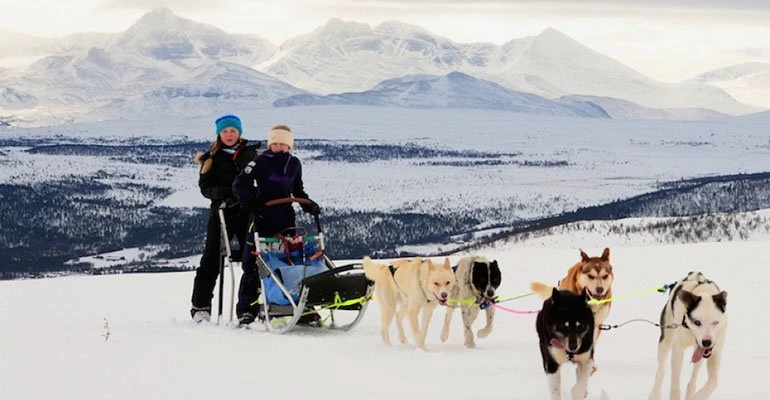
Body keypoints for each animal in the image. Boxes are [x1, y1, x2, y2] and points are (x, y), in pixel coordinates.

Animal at [648, 272, 728, 400]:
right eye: (697, 322)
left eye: (715, 322)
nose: (706, 342)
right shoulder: (677, 350)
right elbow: (675, 386)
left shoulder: (715, 352)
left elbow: (713, 382)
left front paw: (697, 396)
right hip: (665, 340)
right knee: (660, 372)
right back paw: (655, 394)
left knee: (693, 380)